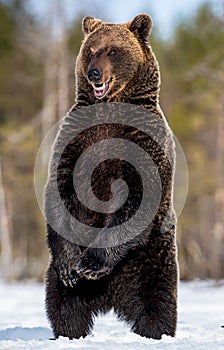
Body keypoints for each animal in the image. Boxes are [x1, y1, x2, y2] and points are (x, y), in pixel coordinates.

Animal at [44, 13, 178, 340]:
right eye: (91, 49)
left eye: (113, 51)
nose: (93, 73)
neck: (110, 108)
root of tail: (110, 297)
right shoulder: (74, 140)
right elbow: (59, 190)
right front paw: (73, 266)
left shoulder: (143, 144)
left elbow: (138, 197)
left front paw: (91, 264)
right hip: (58, 279)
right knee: (63, 305)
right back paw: (69, 332)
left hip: (152, 259)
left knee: (158, 302)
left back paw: (155, 332)